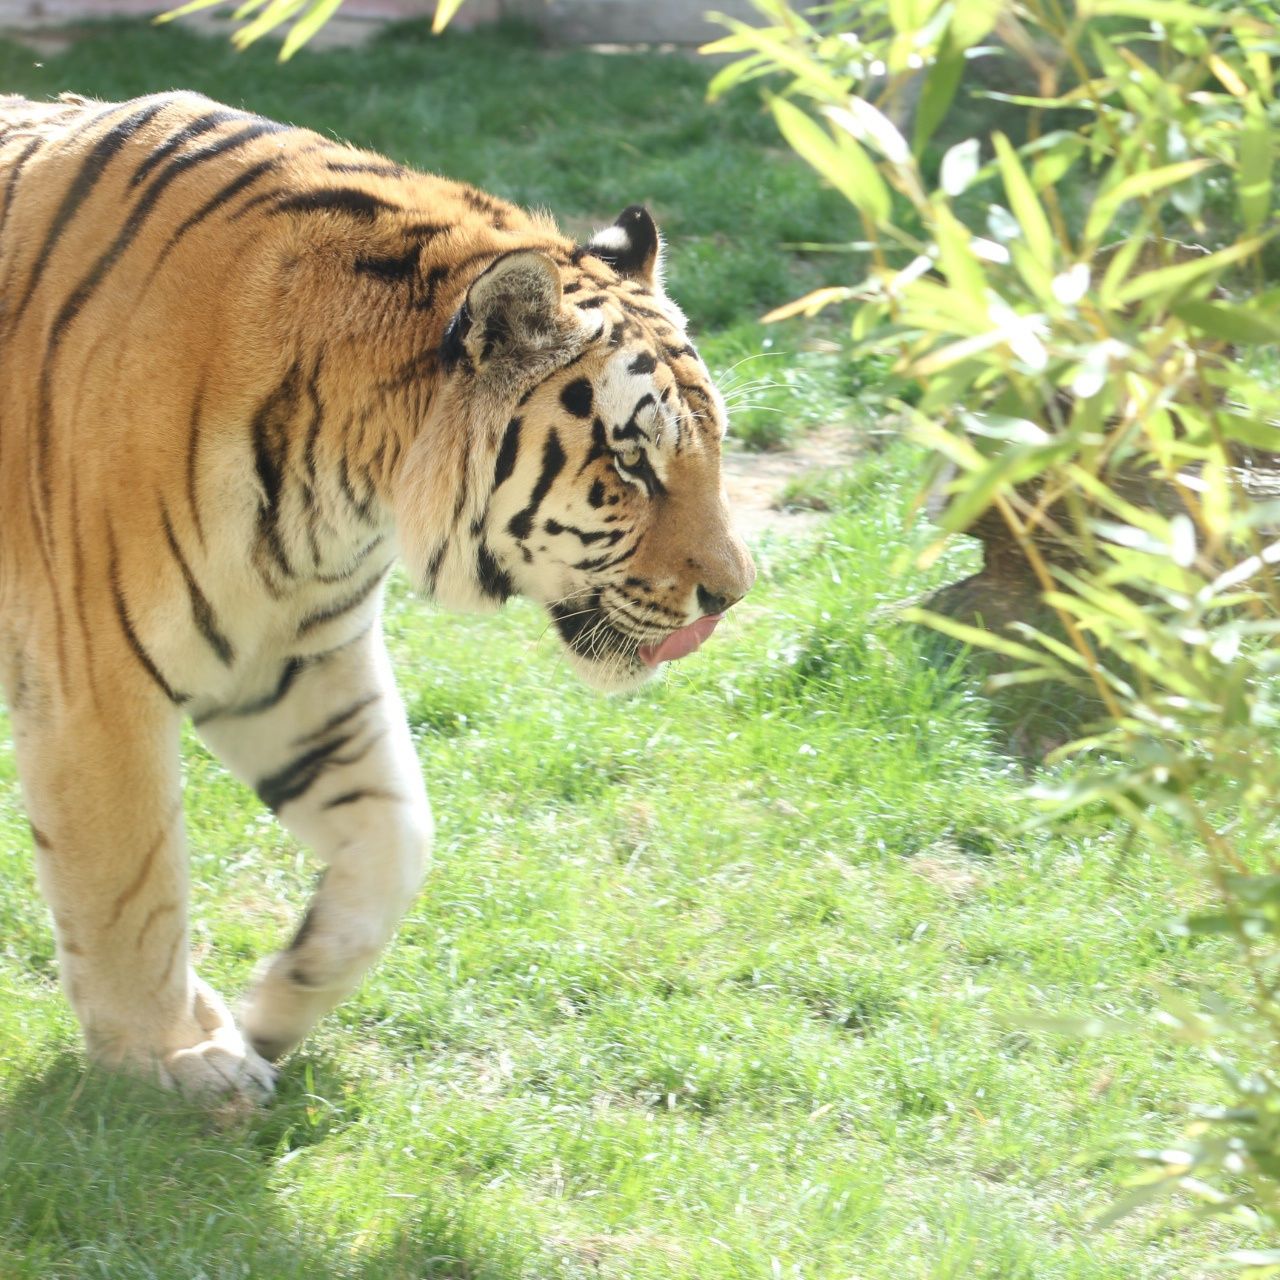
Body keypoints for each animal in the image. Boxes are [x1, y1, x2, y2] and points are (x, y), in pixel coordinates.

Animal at [0, 90, 752, 1100]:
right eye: (632, 465)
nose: (731, 597)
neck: (349, 480)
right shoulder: (95, 680)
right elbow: (130, 887)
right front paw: (177, 1057)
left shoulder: (297, 656)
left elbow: (396, 840)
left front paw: (275, 1006)